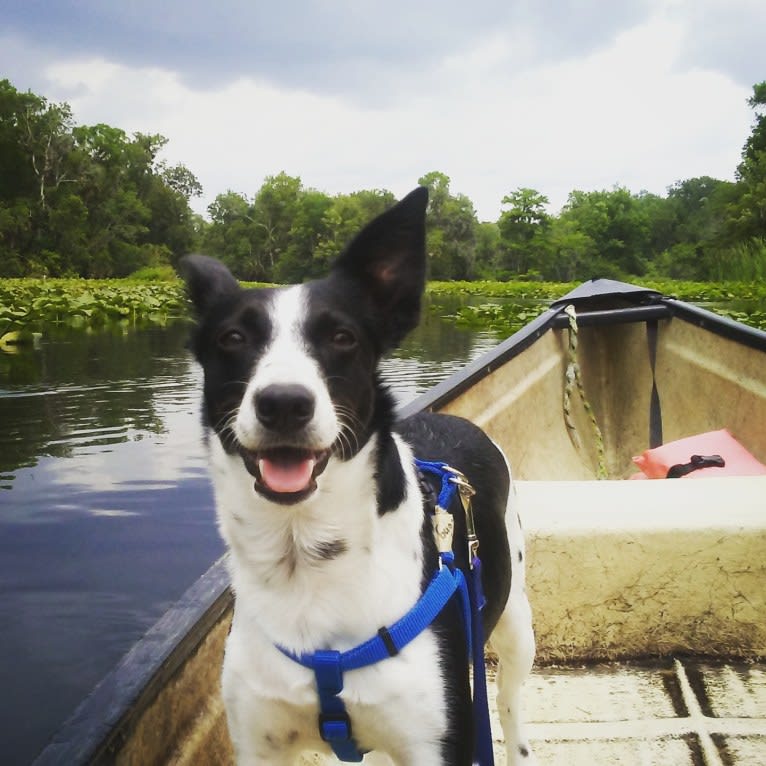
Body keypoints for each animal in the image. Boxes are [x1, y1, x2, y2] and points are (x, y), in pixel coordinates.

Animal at [183, 188, 536, 766]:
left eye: (342, 336)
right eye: (233, 337)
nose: (284, 403)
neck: (305, 556)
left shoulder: (438, 742)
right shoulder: (259, 740)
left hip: (515, 621)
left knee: (509, 702)